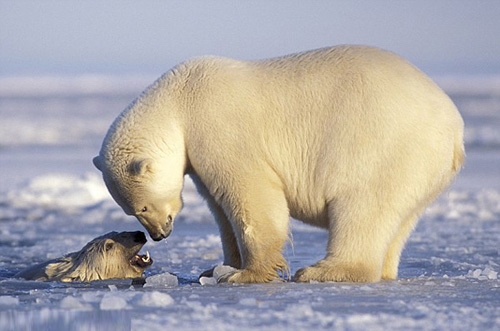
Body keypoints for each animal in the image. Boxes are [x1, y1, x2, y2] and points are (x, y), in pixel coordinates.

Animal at [94, 45, 464, 284]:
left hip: (385, 147)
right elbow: (220, 208)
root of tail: (455, 126)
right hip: (420, 170)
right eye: (132, 210)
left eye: (141, 207)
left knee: (362, 207)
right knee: (398, 220)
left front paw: (247, 274)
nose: (159, 235)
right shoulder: (198, 156)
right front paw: (216, 269)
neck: (179, 99)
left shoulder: (219, 126)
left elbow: (252, 195)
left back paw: (322, 271)